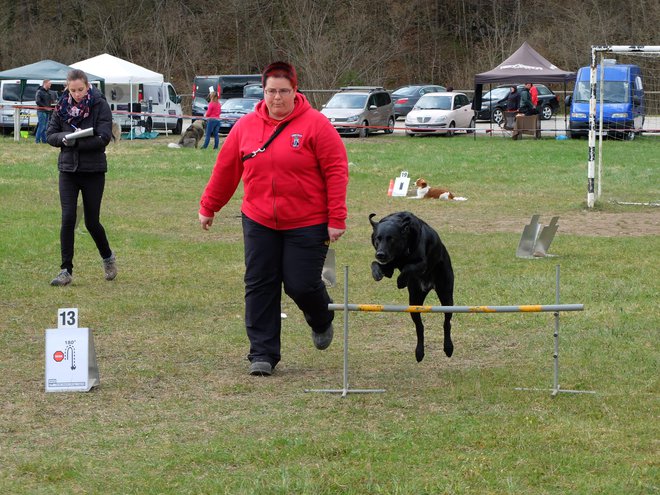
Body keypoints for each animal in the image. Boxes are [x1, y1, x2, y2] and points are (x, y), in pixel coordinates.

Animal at [368, 211, 456, 362]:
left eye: (391, 239)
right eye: (377, 238)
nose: (380, 254)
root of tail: (428, 285)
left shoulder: (421, 263)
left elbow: (408, 267)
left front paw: (401, 281)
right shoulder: (389, 267)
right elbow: (374, 264)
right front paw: (377, 273)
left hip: (446, 295)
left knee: (446, 322)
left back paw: (448, 348)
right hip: (414, 301)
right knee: (420, 327)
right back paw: (419, 352)